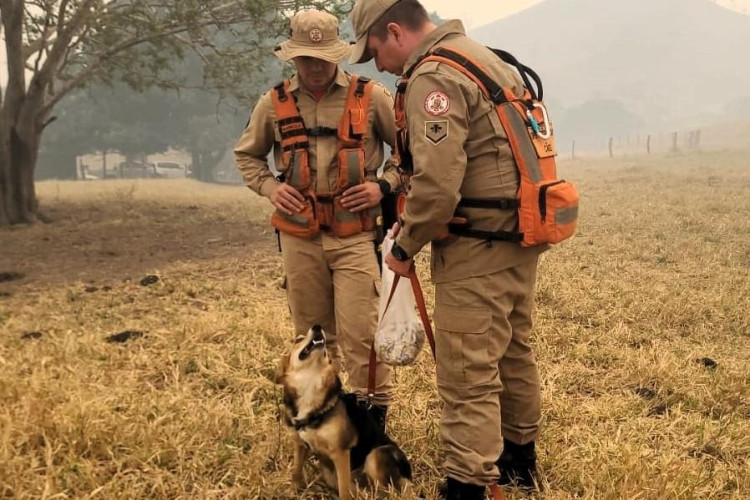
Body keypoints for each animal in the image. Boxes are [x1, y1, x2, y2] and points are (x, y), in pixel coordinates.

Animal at [280, 324, 414, 496]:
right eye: (298, 340)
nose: (317, 326)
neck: (310, 385)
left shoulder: (341, 452)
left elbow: (344, 489)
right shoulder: (299, 444)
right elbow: (296, 471)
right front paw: (292, 492)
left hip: (375, 456)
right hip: (332, 474)